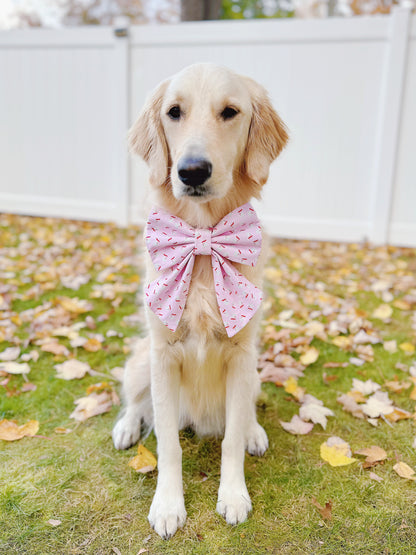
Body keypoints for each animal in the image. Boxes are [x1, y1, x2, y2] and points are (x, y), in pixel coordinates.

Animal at [110, 63, 288, 540]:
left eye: (230, 112)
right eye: (174, 112)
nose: (191, 171)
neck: (205, 242)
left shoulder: (242, 355)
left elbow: (231, 440)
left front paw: (233, 495)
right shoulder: (163, 355)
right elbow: (168, 444)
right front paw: (168, 505)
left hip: (255, 373)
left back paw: (255, 431)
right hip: (141, 363)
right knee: (135, 402)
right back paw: (126, 426)